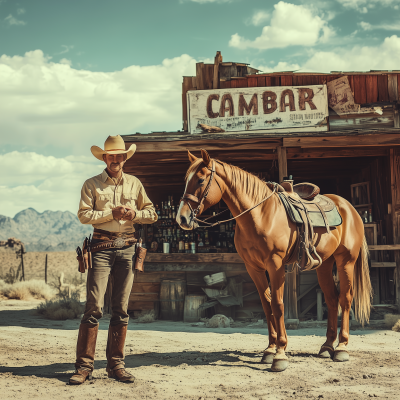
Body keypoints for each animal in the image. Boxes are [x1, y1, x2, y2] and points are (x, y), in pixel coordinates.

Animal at [177, 149, 374, 372]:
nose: (181, 218)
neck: (261, 215)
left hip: (345, 262)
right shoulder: (254, 268)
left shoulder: (276, 265)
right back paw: (326, 347)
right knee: (332, 300)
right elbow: (266, 304)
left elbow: (278, 305)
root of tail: (350, 208)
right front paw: (270, 350)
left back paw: (341, 348)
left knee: (345, 298)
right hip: (324, 265)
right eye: (187, 179)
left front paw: (280, 354)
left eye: (201, 180)